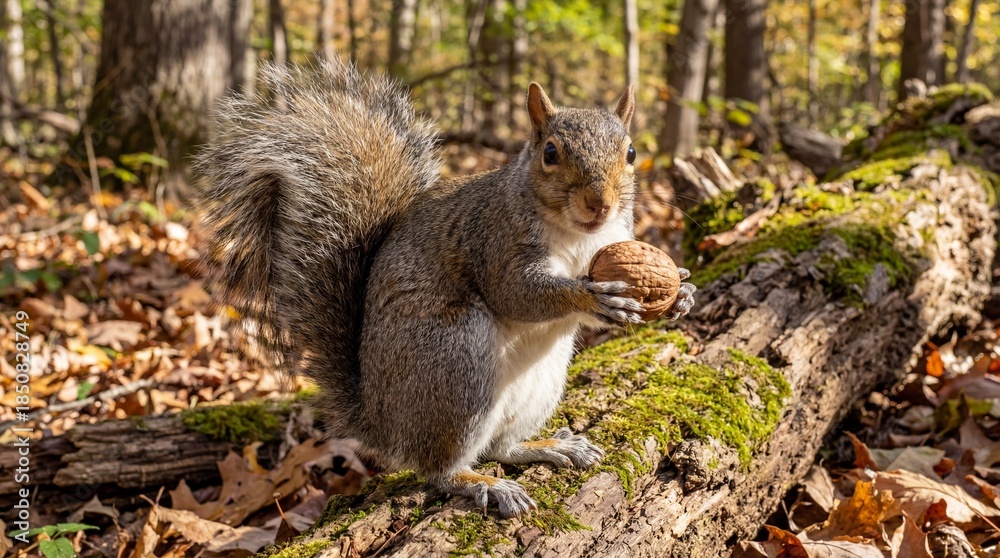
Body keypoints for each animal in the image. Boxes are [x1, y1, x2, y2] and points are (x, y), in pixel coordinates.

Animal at [195, 58, 696, 518]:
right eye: (550, 153)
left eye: (631, 153)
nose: (599, 204)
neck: (577, 236)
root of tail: (382, 420)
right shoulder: (495, 241)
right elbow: (517, 294)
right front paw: (593, 295)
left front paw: (681, 296)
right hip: (456, 364)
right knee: (439, 468)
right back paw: (482, 483)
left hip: (542, 381)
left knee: (500, 447)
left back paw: (550, 447)